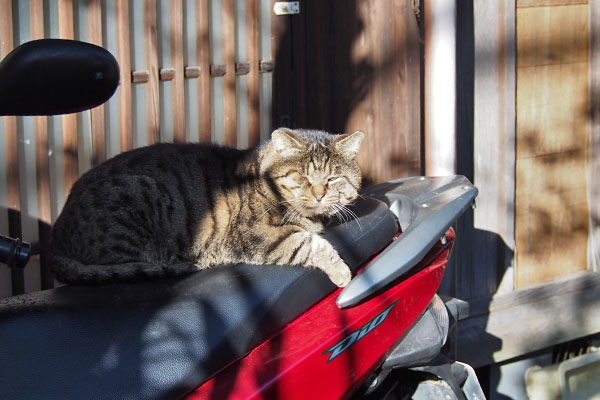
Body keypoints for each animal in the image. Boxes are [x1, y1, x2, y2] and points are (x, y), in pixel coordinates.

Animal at [49, 128, 364, 288]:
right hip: (139, 192)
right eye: (303, 177)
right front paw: (341, 271)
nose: (320, 194)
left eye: (332, 178)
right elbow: (309, 244)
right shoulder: (258, 235)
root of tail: (55, 237)